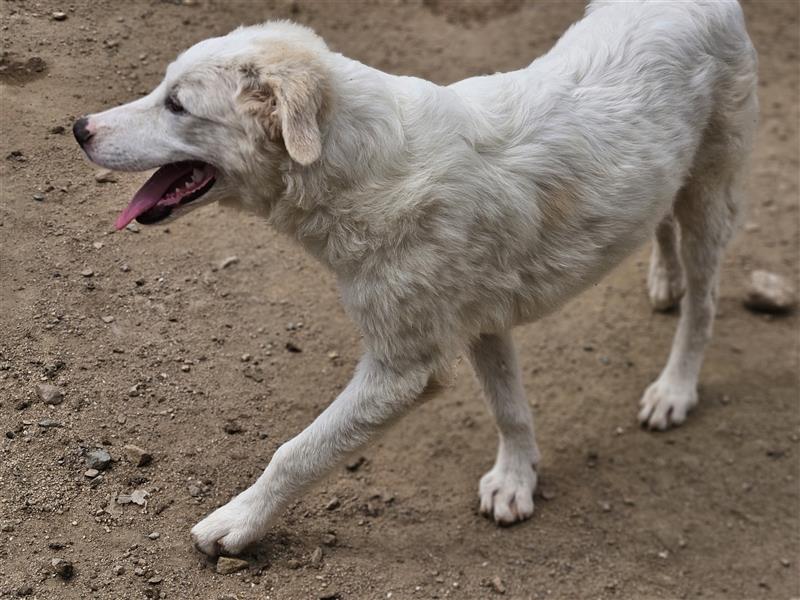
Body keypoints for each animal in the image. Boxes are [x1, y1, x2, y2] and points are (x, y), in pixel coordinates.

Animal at [72, 0, 760, 556]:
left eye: (177, 104)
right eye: (162, 89)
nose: (78, 128)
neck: (362, 169)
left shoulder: (404, 369)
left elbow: (298, 451)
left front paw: (239, 521)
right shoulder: (483, 321)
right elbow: (509, 407)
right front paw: (517, 478)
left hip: (711, 195)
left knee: (704, 306)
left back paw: (675, 386)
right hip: (668, 181)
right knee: (659, 220)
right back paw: (664, 281)